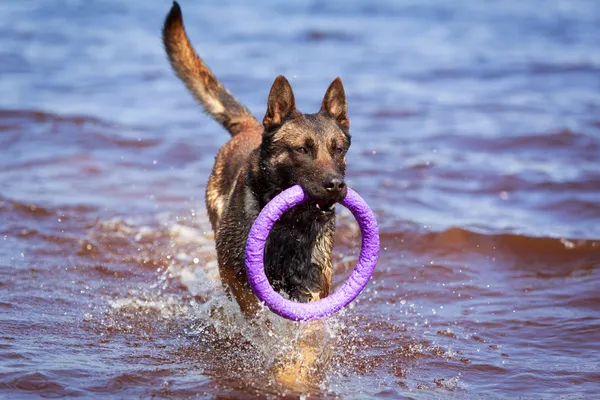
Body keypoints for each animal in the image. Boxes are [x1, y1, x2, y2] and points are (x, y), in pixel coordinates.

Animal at [163, 0, 352, 318]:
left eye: (338, 150)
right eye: (302, 150)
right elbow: (252, 305)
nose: (336, 185)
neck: (288, 223)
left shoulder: (314, 280)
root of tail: (251, 126)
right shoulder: (233, 269)